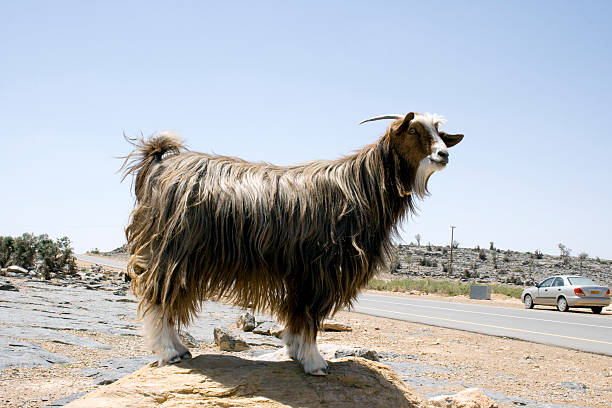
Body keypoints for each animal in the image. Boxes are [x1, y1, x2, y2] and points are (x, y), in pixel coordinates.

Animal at [122, 112, 462, 376]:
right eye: (413, 130)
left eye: (440, 133)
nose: (444, 155)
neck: (359, 188)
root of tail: (159, 165)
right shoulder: (317, 271)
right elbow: (309, 316)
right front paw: (314, 363)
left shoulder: (303, 275)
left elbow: (299, 316)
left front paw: (296, 352)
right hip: (171, 251)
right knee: (158, 296)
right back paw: (169, 352)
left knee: (168, 297)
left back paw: (180, 349)